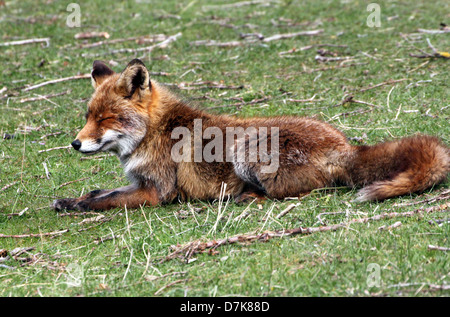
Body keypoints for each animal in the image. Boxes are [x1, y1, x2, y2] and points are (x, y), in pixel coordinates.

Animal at [52, 59, 446, 211]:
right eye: (88, 117)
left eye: (106, 118)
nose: (75, 143)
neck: (155, 133)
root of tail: (346, 146)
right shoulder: (140, 182)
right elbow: (100, 192)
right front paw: (72, 199)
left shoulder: (156, 191)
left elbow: (104, 200)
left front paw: (76, 205)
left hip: (247, 151)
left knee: (292, 192)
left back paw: (243, 197)